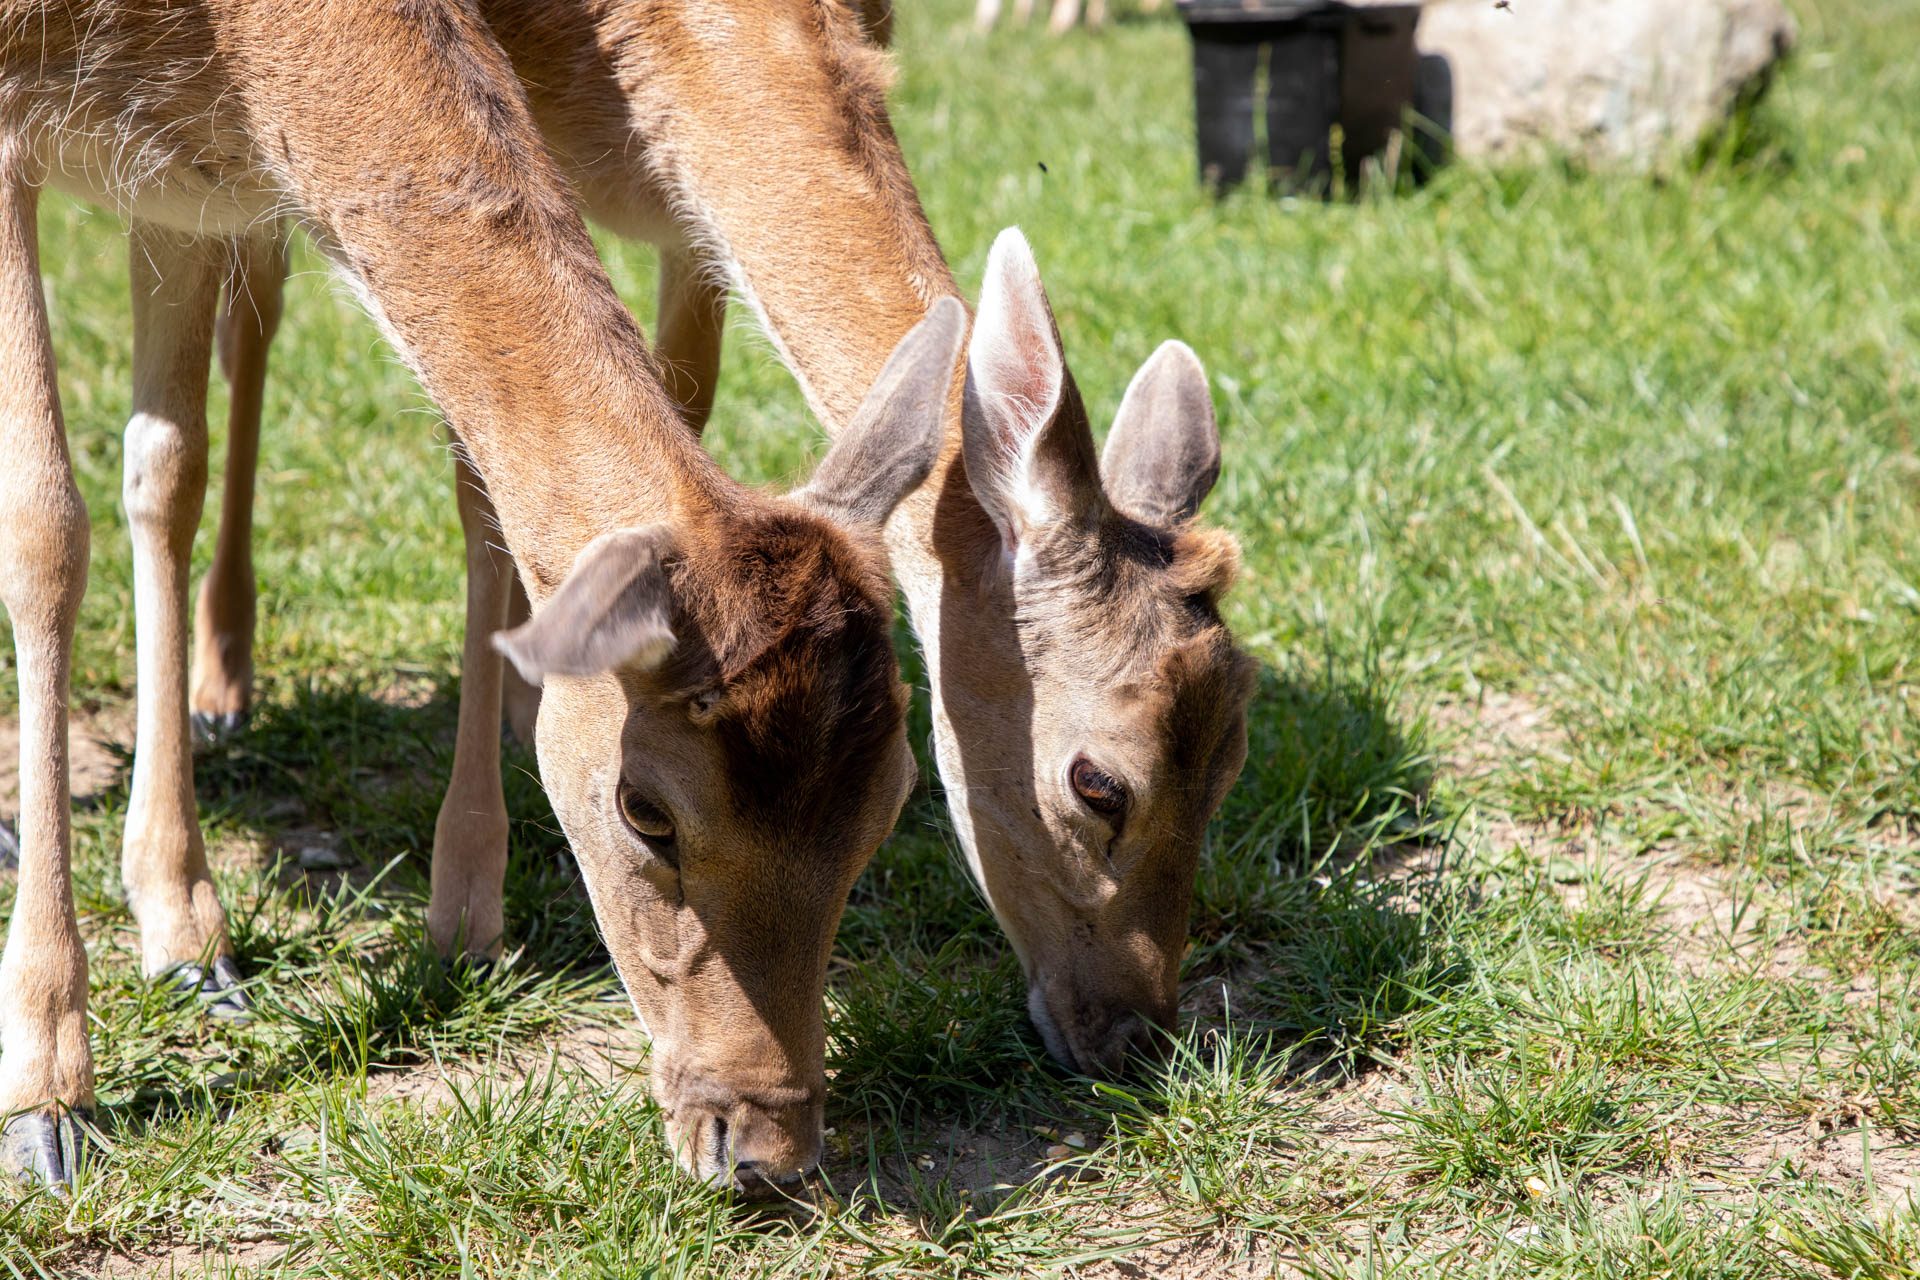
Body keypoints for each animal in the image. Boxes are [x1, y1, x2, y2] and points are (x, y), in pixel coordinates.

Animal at [0, 5, 960, 1197]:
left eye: (895, 794)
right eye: (644, 809)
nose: (768, 1147)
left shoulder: (184, 178)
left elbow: (171, 465)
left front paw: (192, 933)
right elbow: (43, 523)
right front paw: (49, 1095)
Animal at [198, 0, 1259, 1082]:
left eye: (1232, 758)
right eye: (1098, 784)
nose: (1140, 1033)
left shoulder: (678, 224)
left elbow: (670, 420)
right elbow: (485, 483)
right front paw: (466, 909)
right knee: (246, 317)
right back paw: (220, 696)